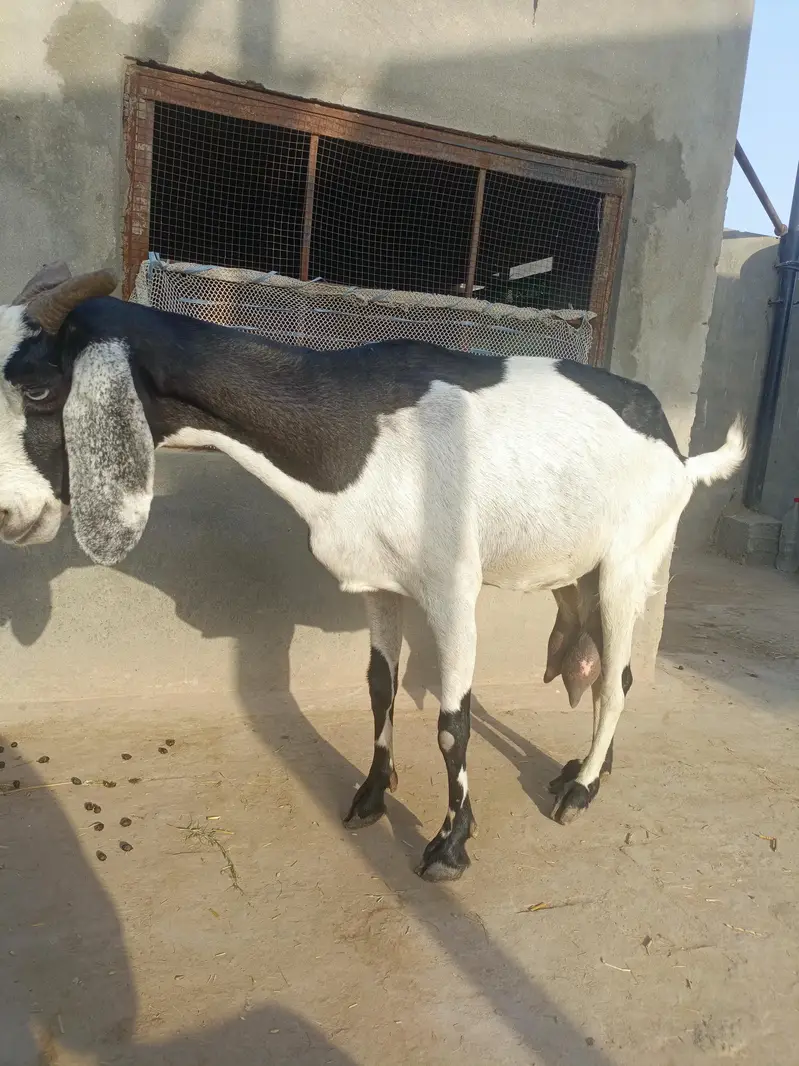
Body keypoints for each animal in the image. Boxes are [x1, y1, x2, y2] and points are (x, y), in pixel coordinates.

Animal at [0, 264, 746, 881]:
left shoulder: (452, 589)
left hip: (629, 561)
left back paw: (581, 790)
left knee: (616, 681)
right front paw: (369, 796)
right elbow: (380, 688)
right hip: (577, 575)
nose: (9, 513)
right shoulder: (380, 583)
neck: (352, 425)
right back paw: (589, 766)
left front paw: (449, 844)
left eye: (38, 387)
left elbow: (452, 722)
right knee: (609, 673)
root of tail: (680, 453)